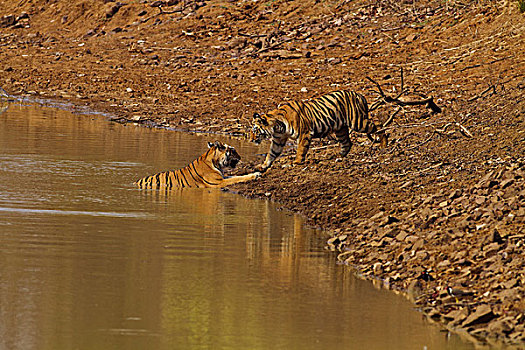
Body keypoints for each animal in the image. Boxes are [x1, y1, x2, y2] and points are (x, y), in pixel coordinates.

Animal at [250, 89, 388, 172]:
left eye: (255, 131)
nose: (251, 140)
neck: (277, 127)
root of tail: (360, 95)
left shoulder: (304, 133)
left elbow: (301, 149)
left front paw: (297, 162)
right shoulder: (278, 139)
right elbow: (272, 153)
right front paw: (263, 165)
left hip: (357, 121)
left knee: (378, 124)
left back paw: (384, 144)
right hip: (341, 128)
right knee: (347, 143)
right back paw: (339, 156)